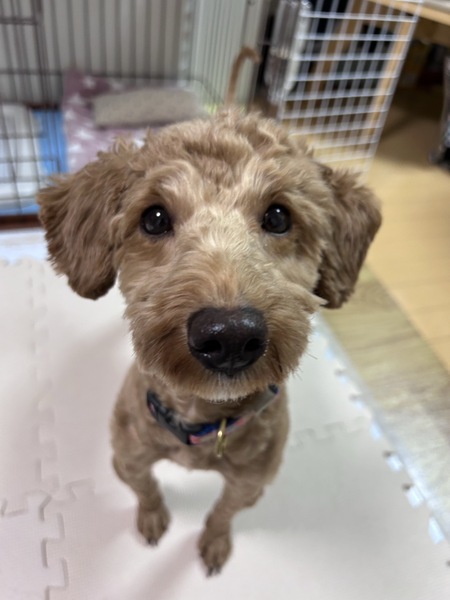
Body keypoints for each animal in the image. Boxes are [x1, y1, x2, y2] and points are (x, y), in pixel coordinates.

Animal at [38, 51, 381, 576]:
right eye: (154, 217)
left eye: (279, 216)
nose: (231, 336)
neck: (204, 417)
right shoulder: (127, 458)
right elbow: (145, 488)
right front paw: (152, 520)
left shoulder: (252, 481)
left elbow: (223, 512)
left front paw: (216, 543)